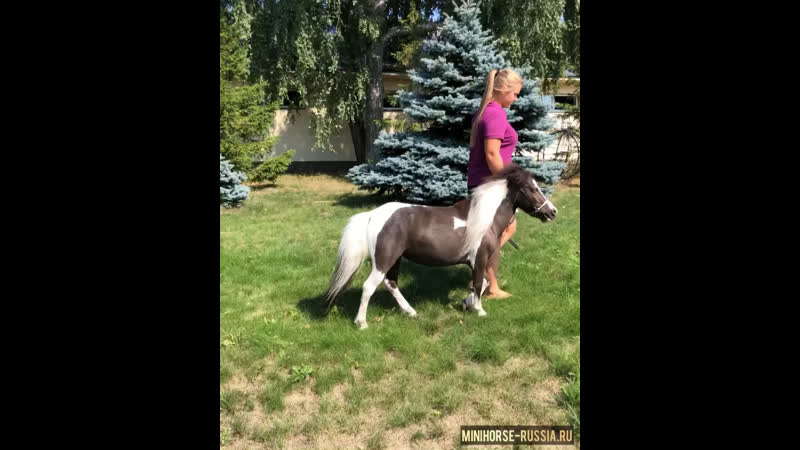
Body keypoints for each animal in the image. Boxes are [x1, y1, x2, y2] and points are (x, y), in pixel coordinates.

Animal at [325, 163, 557, 329]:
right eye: (532, 188)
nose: (552, 212)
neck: (483, 219)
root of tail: (373, 215)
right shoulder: (479, 257)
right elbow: (478, 283)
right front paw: (479, 310)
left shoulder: (473, 261)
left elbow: (480, 282)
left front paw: (467, 303)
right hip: (384, 260)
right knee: (369, 287)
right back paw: (362, 323)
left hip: (395, 259)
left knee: (391, 284)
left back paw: (410, 312)